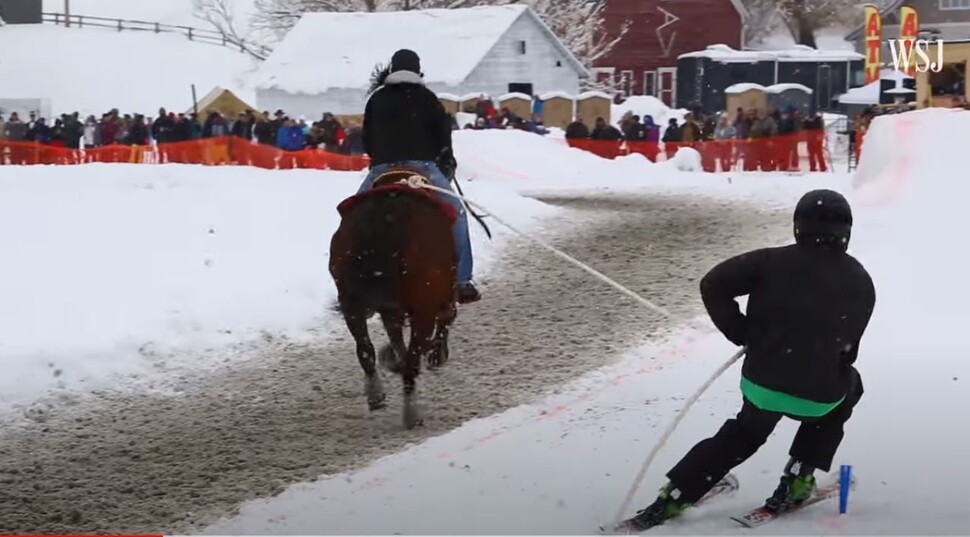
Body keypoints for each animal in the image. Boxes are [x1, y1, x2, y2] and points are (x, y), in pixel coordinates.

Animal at [328, 168, 458, 428]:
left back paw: (376, 393)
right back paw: (412, 413)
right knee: (412, 361)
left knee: (365, 350)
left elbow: (394, 337)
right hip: (424, 308)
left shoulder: (388, 308)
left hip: (350, 302)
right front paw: (437, 353)